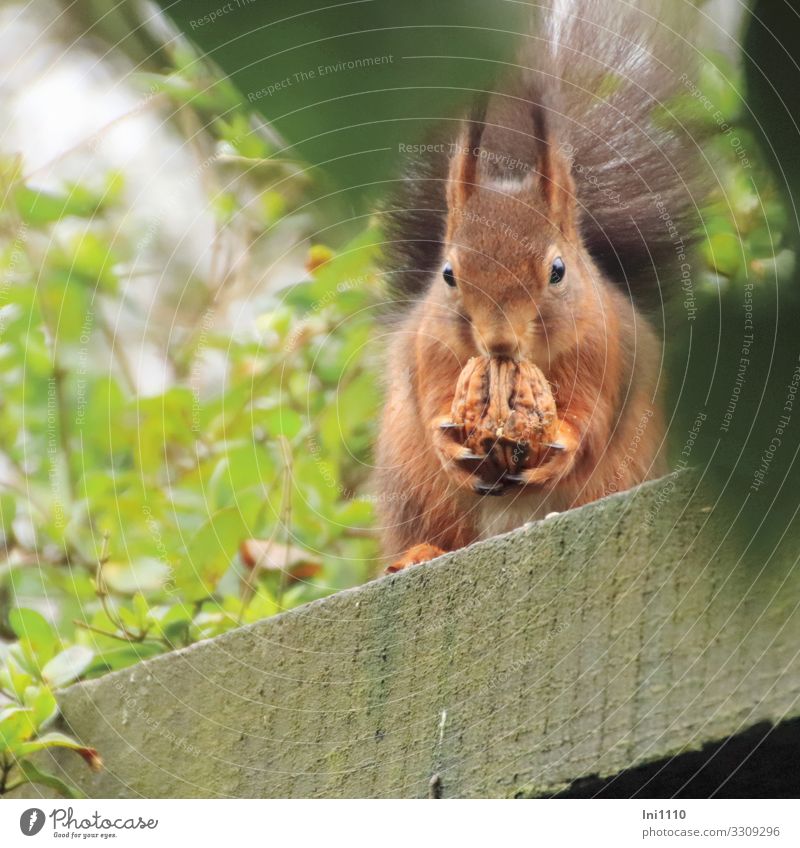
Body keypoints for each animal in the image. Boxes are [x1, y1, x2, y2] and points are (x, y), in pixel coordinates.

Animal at [376, 0, 708, 572]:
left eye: (558, 271)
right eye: (448, 274)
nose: (499, 342)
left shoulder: (604, 350)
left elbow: (592, 414)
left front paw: (562, 444)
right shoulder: (431, 349)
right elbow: (434, 394)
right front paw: (449, 441)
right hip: (412, 487)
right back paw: (419, 553)